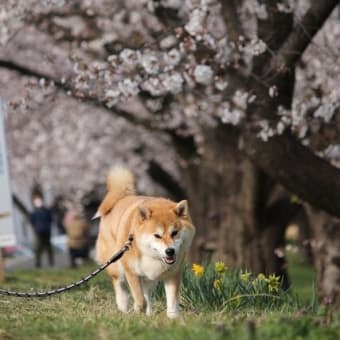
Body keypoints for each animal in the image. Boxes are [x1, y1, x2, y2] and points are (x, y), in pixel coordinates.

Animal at [95, 167, 197, 318]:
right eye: (157, 236)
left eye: (174, 233)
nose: (170, 251)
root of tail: (121, 198)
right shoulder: (131, 272)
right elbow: (140, 299)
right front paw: (138, 309)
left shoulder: (173, 274)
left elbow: (172, 301)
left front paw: (173, 318)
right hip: (116, 265)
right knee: (119, 285)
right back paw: (123, 306)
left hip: (149, 278)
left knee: (147, 293)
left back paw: (148, 315)